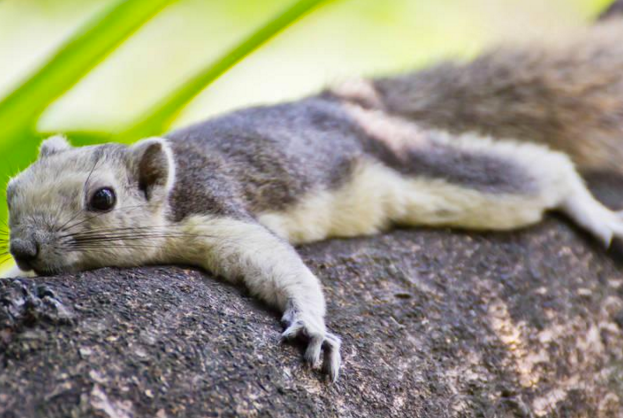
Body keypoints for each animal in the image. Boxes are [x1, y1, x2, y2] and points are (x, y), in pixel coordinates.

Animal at [3, 13, 623, 386]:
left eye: (103, 198)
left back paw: (598, 216)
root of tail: (348, 104)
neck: (173, 194)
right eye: (11, 192)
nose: (26, 251)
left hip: (423, 170)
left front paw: (310, 327)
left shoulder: (218, 213)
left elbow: (281, 265)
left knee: (539, 172)